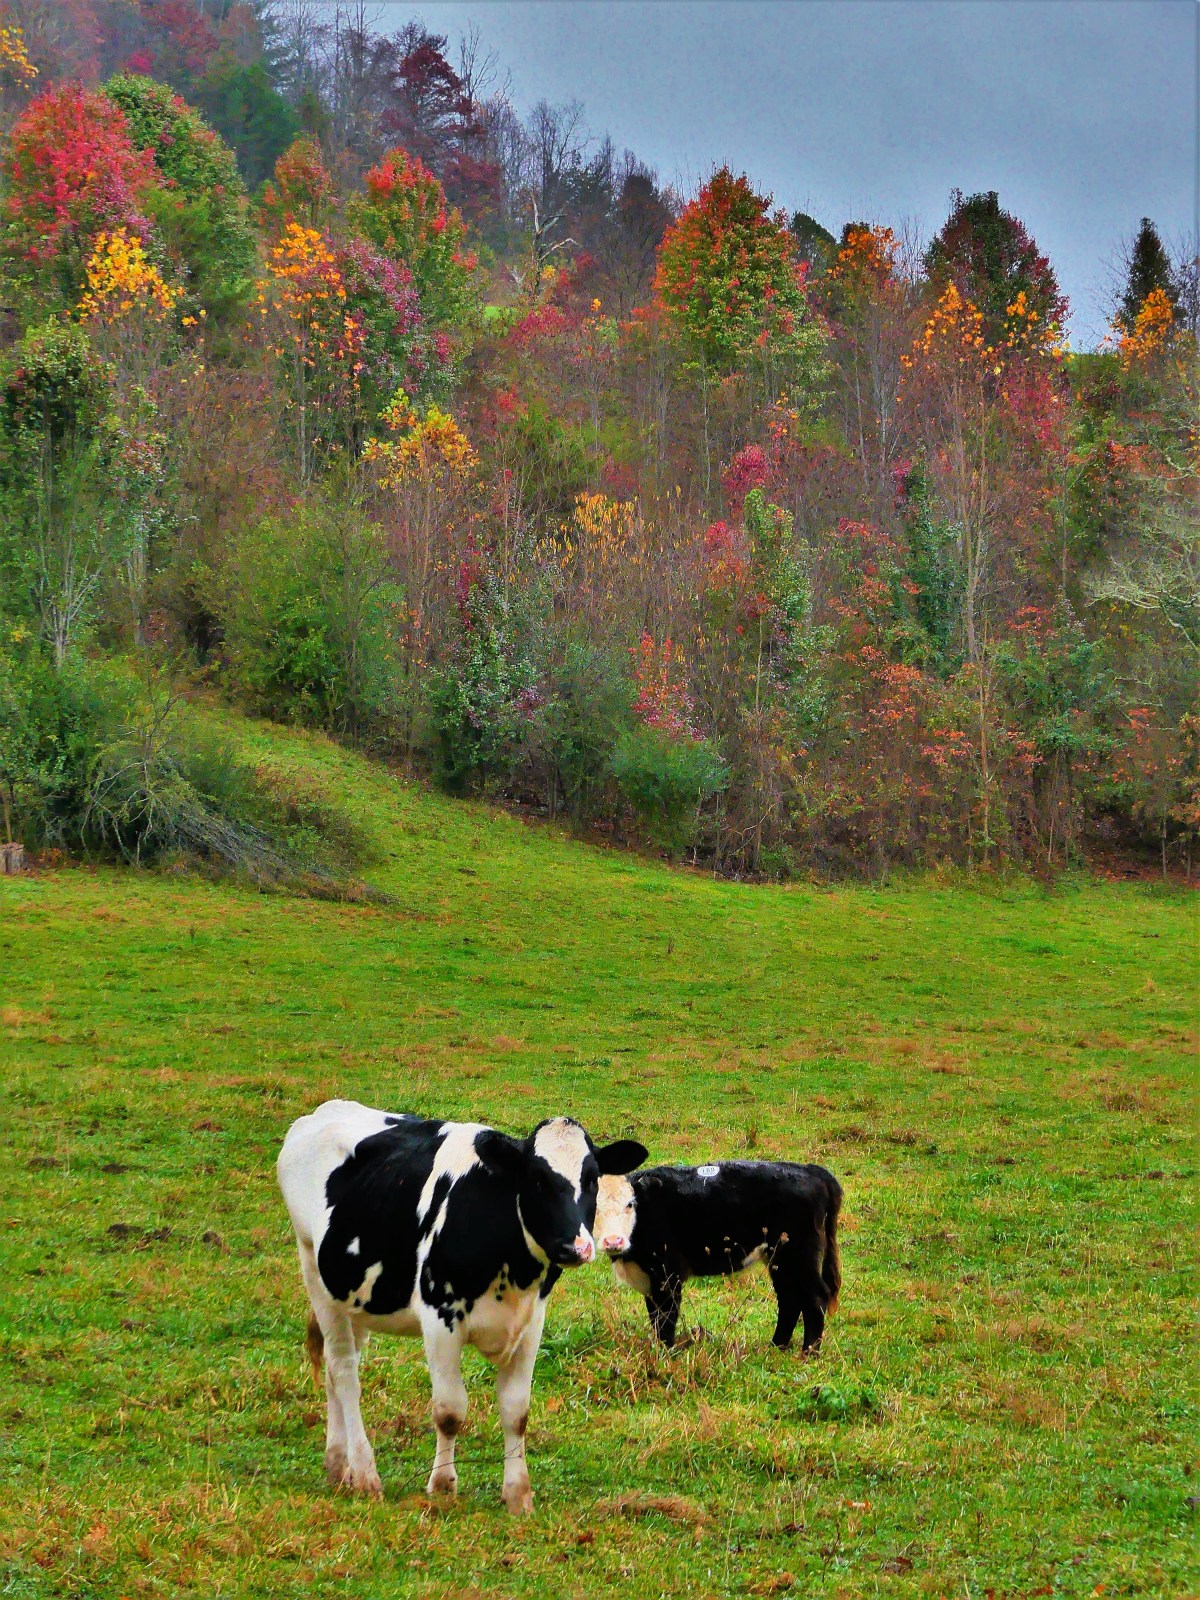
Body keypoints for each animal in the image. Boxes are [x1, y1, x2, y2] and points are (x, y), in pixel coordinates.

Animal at [277, 1100, 647, 1514]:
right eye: (536, 1179)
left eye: (593, 1179)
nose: (574, 1247)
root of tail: (321, 1113)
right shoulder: (439, 1316)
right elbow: (450, 1410)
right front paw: (442, 1486)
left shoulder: (531, 1321)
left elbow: (516, 1411)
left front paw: (518, 1495)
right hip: (314, 1271)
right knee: (344, 1373)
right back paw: (365, 1473)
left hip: (353, 1294)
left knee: (333, 1371)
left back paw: (338, 1467)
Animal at [594, 1160, 842, 1352]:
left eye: (630, 1204)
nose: (613, 1241)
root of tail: (809, 1170)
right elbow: (656, 1317)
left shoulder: (668, 1274)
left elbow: (665, 1319)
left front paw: (665, 1353)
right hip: (780, 1259)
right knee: (789, 1298)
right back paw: (776, 1346)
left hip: (800, 1255)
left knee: (815, 1297)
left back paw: (808, 1352)